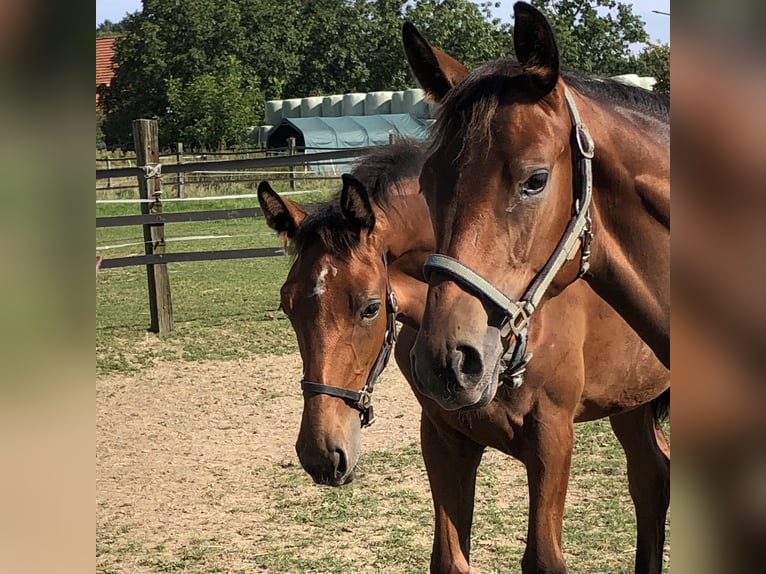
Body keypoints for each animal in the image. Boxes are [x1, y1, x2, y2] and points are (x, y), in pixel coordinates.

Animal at [256, 141, 664, 574]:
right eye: (287, 306)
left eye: (370, 308)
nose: (320, 454)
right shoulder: (444, 438)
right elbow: (449, 559)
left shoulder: (552, 437)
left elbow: (544, 558)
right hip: (631, 402)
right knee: (652, 479)